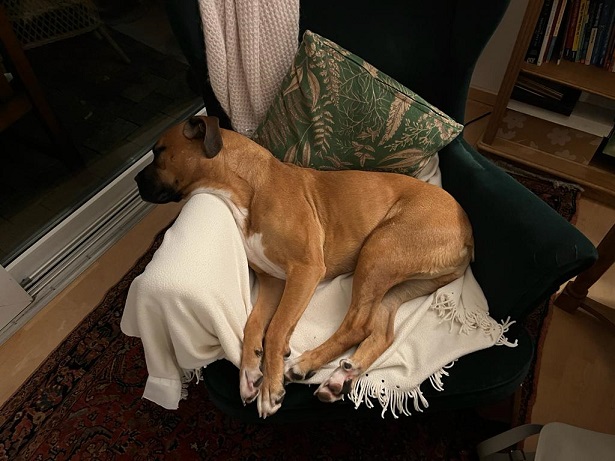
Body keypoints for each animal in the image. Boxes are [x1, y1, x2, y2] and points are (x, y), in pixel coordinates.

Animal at [135, 115, 474, 418]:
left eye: (159, 152)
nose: (137, 180)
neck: (248, 187)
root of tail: (468, 230)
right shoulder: (273, 282)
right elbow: (254, 325)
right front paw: (249, 373)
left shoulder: (305, 270)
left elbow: (274, 329)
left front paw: (270, 389)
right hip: (397, 282)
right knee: (381, 333)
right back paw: (341, 377)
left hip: (379, 249)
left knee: (357, 325)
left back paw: (306, 364)